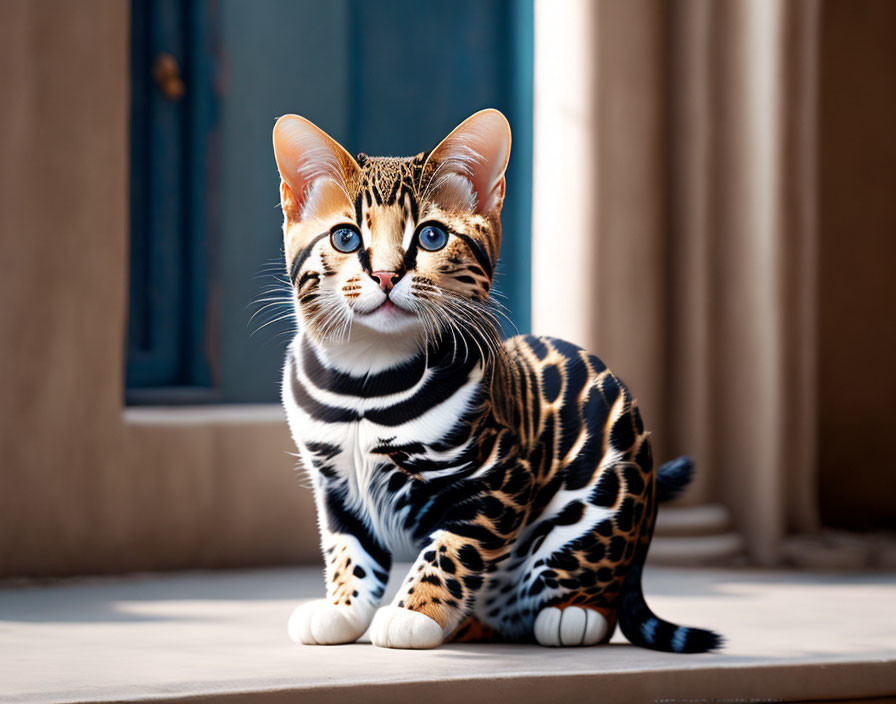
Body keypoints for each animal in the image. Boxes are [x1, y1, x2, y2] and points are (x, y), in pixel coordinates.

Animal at [272, 110, 720, 656]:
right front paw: (342, 607)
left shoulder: (498, 480)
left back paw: (574, 614)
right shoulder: (335, 483)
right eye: (346, 238)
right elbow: (347, 549)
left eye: (431, 237)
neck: (364, 380)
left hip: (602, 503)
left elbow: (450, 552)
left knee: (589, 581)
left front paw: (412, 613)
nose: (385, 275)